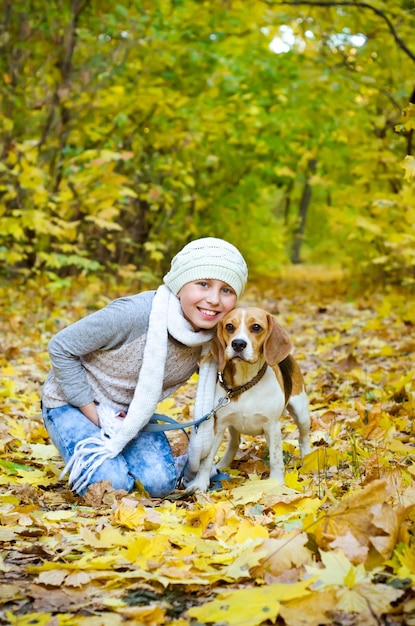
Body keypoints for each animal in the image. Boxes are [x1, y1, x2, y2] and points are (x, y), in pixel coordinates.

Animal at [187, 308, 310, 492]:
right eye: (229, 326)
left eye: (256, 327)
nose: (238, 344)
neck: (245, 384)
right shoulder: (219, 425)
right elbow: (206, 461)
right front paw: (200, 483)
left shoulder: (272, 426)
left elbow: (276, 458)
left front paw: (276, 483)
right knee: (234, 443)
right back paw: (222, 466)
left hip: (301, 414)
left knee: (303, 438)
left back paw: (309, 458)